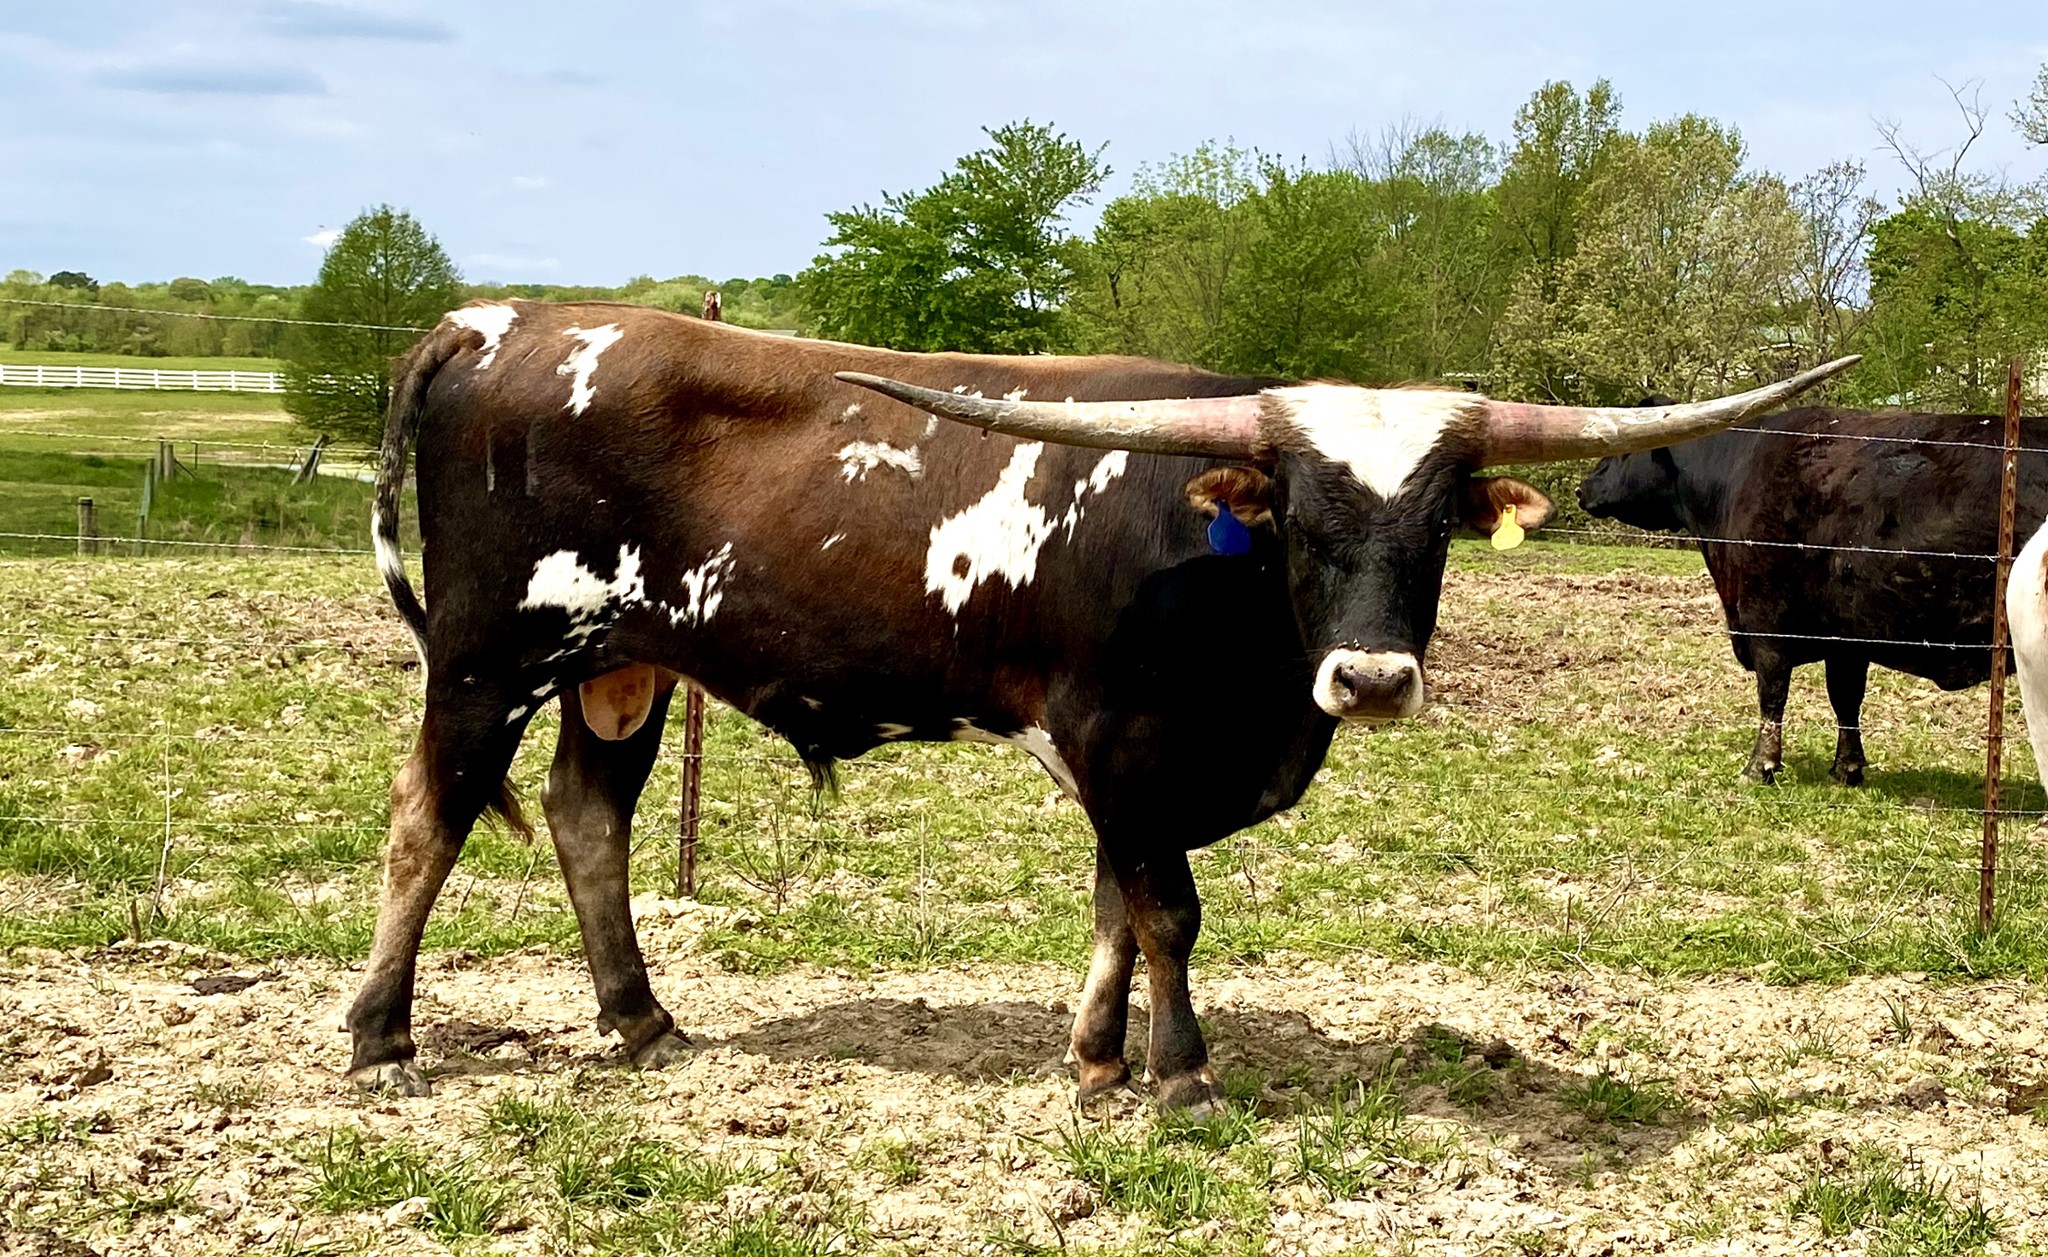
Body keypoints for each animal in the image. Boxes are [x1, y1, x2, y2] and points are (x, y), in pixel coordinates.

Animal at [354, 297, 1853, 1110]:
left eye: (1434, 528)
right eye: (1302, 520)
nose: (1370, 679)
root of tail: (504, 319)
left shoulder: (1132, 770)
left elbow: (1115, 914)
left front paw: (1092, 1058)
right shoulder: (1125, 746)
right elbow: (1168, 912)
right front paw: (1179, 1073)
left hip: (619, 665)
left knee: (584, 817)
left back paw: (640, 1019)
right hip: (487, 660)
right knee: (427, 823)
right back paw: (382, 1037)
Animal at [1578, 406, 2045, 785]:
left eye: (1624, 452)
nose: (1583, 488)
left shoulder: (1765, 619)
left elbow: (1772, 694)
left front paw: (1760, 767)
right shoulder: (1846, 636)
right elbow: (1845, 698)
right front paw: (1847, 769)